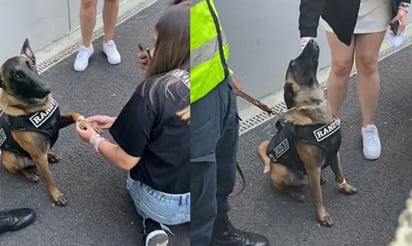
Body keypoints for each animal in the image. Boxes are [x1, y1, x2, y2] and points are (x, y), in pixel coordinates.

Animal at [0, 40, 95, 206]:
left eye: (31, 64)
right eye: (17, 76)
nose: (46, 89)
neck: (34, 108)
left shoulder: (57, 121)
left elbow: (74, 114)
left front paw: (86, 123)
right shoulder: (39, 157)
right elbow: (49, 179)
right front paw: (56, 196)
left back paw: (50, 154)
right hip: (10, 158)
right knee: (21, 169)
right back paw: (30, 174)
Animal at [258, 40, 358, 227]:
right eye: (293, 63)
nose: (310, 40)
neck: (315, 107)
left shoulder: (335, 154)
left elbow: (339, 174)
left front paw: (345, 186)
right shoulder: (313, 168)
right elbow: (318, 197)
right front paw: (322, 216)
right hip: (282, 172)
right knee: (284, 188)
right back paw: (296, 193)